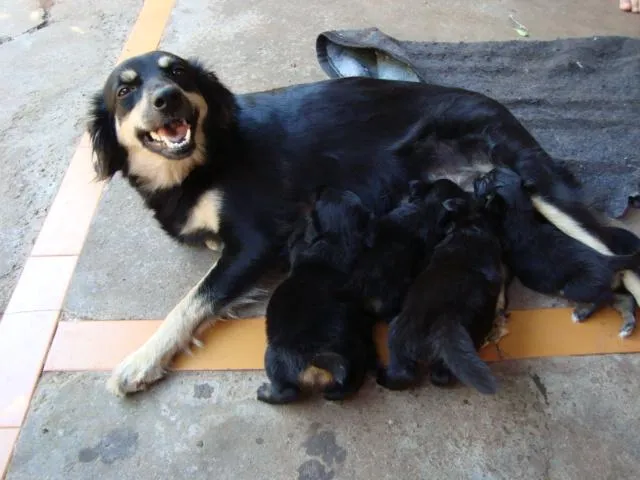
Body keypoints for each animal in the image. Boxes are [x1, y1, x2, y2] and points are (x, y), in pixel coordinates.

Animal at [255, 188, 376, 404]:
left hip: (274, 356)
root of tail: (319, 361)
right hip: (357, 354)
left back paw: (266, 393)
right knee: (350, 383)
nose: (321, 189)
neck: (334, 243)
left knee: (288, 392)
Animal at [476, 169, 640, 338]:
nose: (478, 177)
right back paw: (627, 325)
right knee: (624, 298)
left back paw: (582, 312)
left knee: (602, 297)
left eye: (487, 179)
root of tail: (609, 259)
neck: (519, 212)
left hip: (576, 287)